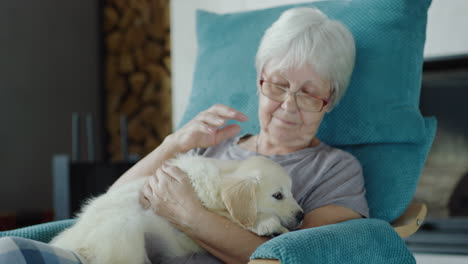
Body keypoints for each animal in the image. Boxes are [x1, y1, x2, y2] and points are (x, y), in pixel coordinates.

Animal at [50, 155, 304, 264]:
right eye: (278, 195)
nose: (302, 215)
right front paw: (267, 222)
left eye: (292, 193)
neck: (220, 176)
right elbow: (238, 217)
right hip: (124, 235)